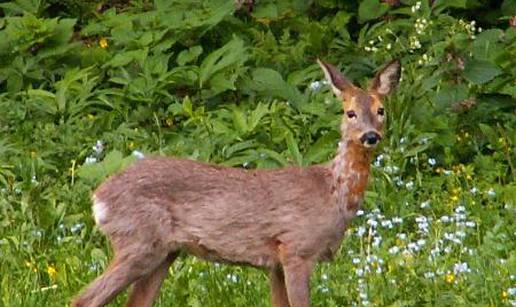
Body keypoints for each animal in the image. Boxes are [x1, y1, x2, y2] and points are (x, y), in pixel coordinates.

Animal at [72, 59, 402, 306]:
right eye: (350, 112)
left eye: (381, 110)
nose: (370, 136)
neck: (333, 193)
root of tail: (99, 198)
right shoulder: (297, 248)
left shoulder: (275, 262)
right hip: (138, 241)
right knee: (83, 299)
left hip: (164, 251)